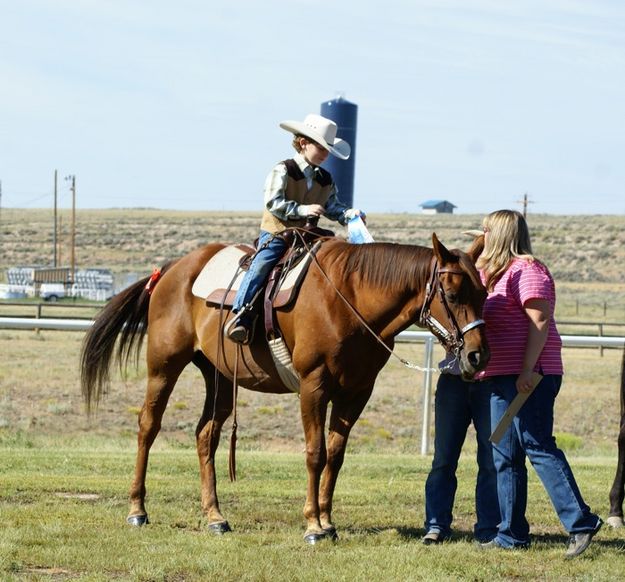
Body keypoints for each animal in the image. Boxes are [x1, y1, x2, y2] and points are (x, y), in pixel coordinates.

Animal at [80, 235, 488, 544]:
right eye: (453, 296)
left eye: (484, 293)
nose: (477, 355)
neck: (349, 298)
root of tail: (171, 270)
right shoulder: (314, 385)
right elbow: (315, 453)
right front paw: (312, 526)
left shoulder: (357, 392)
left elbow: (336, 456)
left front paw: (328, 521)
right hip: (164, 366)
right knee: (148, 427)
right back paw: (137, 509)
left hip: (218, 377)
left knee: (205, 436)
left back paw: (215, 516)